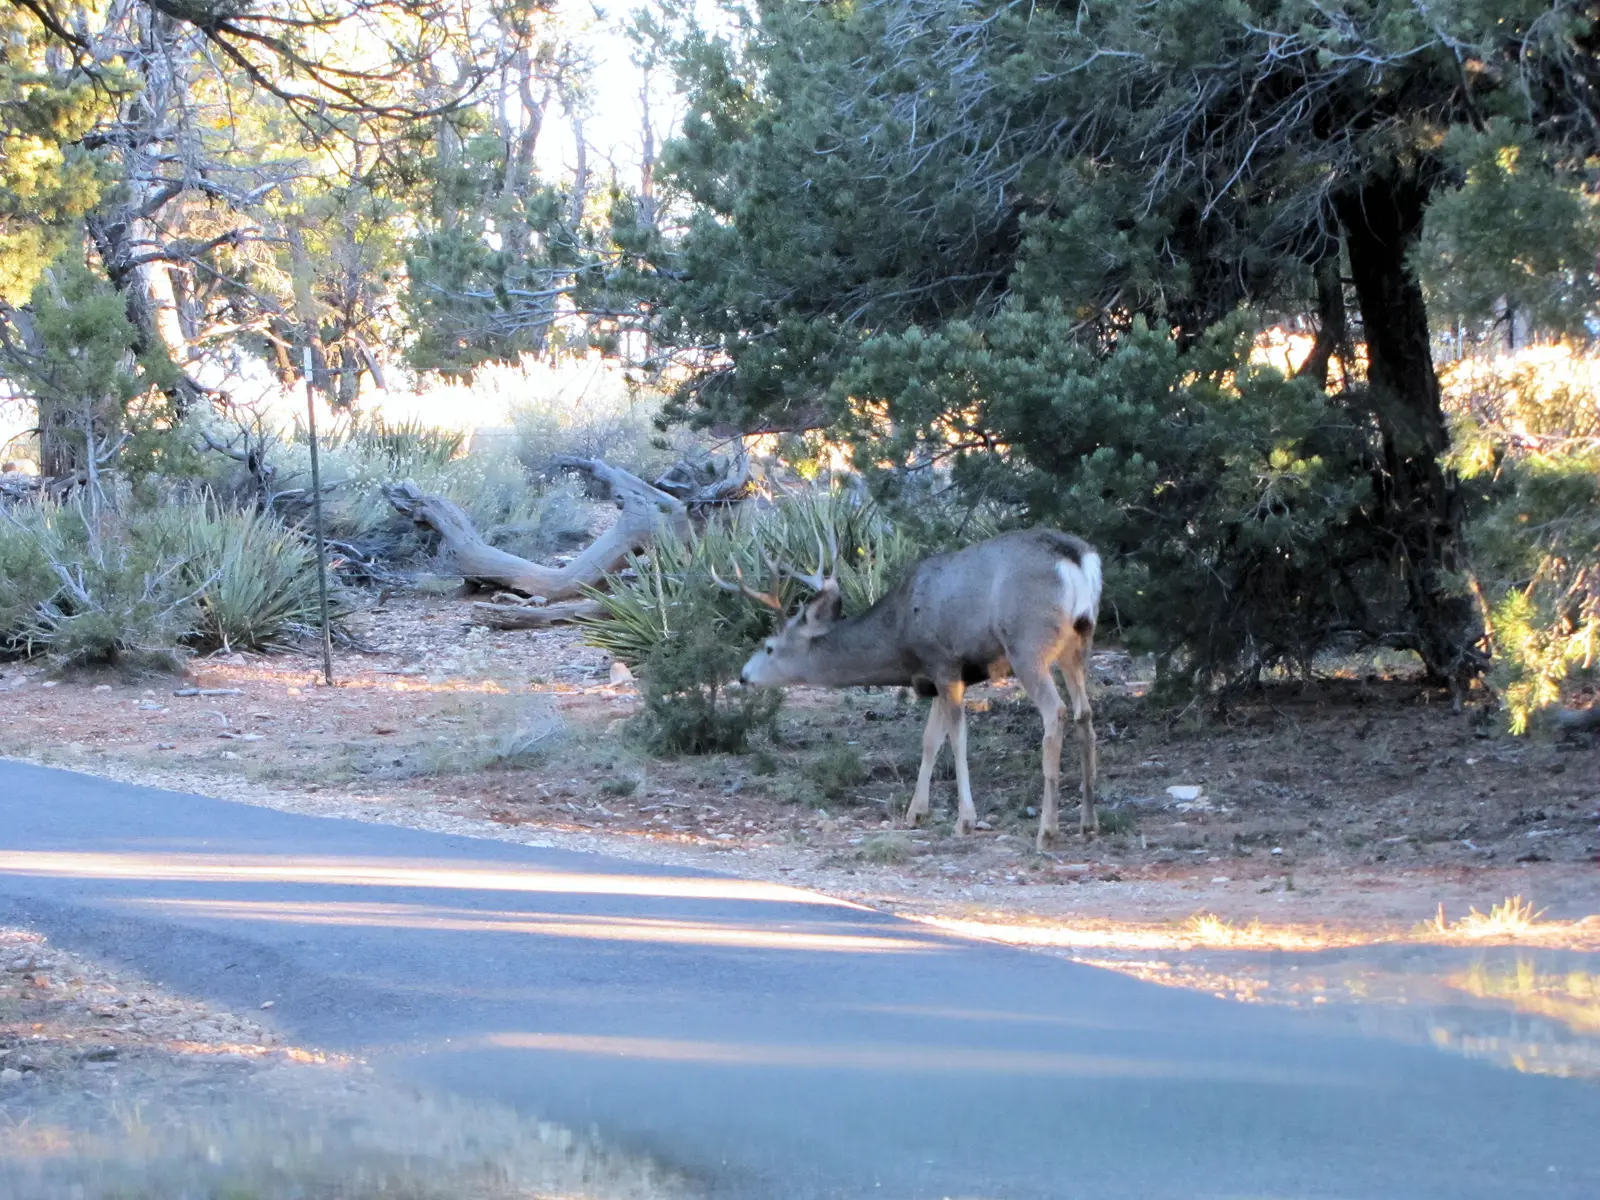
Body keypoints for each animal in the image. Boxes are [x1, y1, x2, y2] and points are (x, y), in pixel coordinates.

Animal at [716, 528, 1102, 849]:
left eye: (769, 647)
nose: (743, 676)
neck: (900, 634)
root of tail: (1077, 560)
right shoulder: (937, 677)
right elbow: (931, 740)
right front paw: (916, 812)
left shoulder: (944, 663)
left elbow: (957, 739)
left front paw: (965, 820)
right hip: (1079, 640)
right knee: (1084, 713)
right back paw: (1087, 822)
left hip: (1027, 642)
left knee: (1056, 712)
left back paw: (1047, 831)